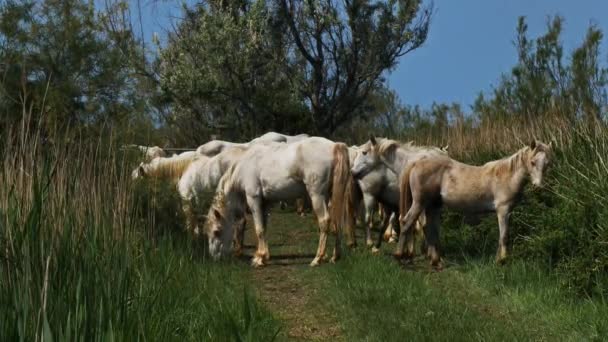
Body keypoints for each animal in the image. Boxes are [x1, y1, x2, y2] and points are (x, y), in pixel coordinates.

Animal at [205, 137, 356, 268]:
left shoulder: (254, 199)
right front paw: (264, 256)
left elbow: (259, 229)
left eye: (217, 231)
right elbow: (264, 228)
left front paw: (259, 259)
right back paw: (334, 256)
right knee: (337, 221)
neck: (245, 165)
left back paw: (317, 258)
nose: (214, 257)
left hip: (317, 195)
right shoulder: (265, 203)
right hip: (330, 196)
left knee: (324, 221)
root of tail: (334, 145)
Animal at [396, 139, 552, 268]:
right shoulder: (503, 210)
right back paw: (399, 256)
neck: (506, 176)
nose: (538, 187)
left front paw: (498, 259)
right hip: (419, 203)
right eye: (532, 162)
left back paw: (436, 261)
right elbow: (504, 235)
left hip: (432, 206)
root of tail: (416, 163)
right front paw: (501, 260)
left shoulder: (509, 212)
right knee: (406, 222)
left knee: (428, 228)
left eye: (547, 164)